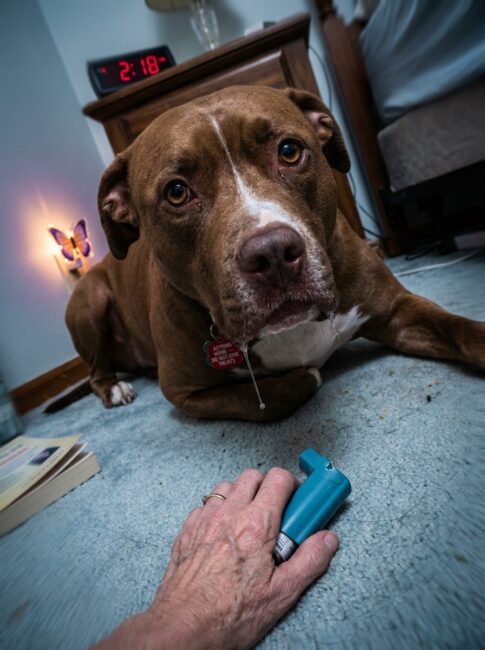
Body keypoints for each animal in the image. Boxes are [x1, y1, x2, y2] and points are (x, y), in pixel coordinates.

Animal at [65, 85, 485, 421]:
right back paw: (116, 388)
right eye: (177, 192)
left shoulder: (397, 309)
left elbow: (461, 330)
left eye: (289, 151)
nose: (273, 253)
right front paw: (304, 374)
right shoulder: (187, 393)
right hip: (89, 300)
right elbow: (268, 397)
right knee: (95, 371)